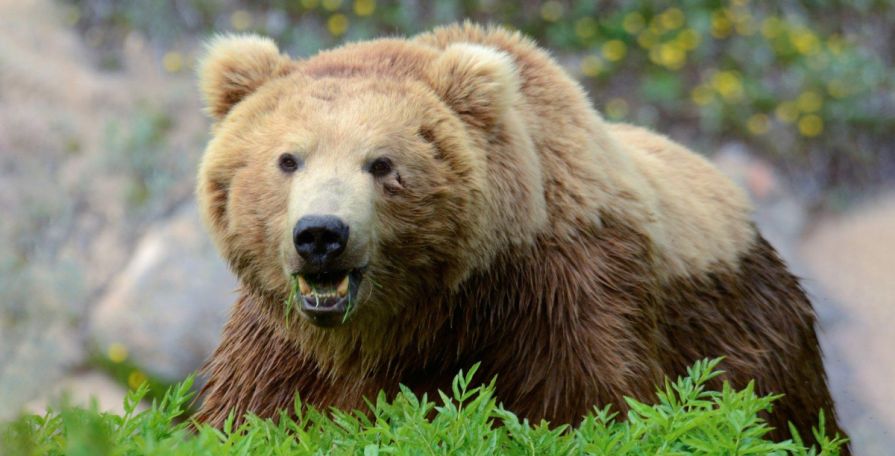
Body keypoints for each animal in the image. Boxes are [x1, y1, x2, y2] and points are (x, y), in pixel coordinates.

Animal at [193, 23, 847, 451]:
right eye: (288, 159)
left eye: (381, 164)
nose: (321, 234)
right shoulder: (281, 344)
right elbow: (250, 413)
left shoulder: (565, 303)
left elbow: (590, 408)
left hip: (755, 338)